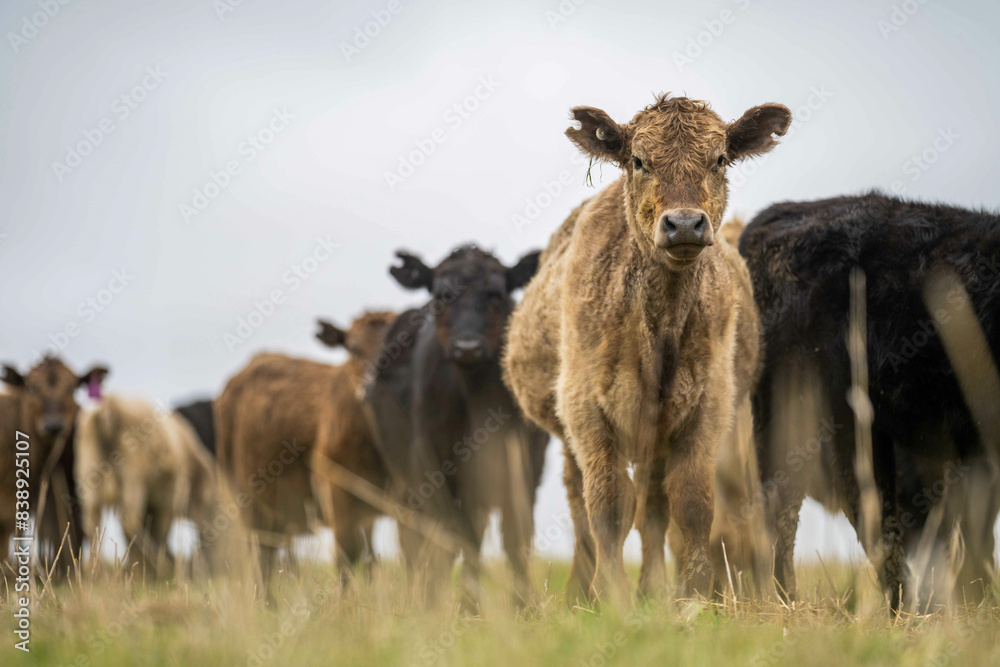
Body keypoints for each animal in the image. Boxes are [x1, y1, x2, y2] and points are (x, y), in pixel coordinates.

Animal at [74, 394, 220, 576]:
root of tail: (109, 406)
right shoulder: (166, 500)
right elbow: (160, 530)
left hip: (90, 474)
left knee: (92, 524)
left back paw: (97, 572)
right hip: (135, 475)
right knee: (128, 520)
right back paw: (162, 564)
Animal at [214, 311, 395, 586]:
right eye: (352, 348)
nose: (372, 387)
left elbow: (373, 558)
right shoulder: (334, 489)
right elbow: (347, 555)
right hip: (247, 500)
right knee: (262, 557)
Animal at [365, 245, 548, 609]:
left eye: (496, 294)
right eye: (442, 294)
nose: (467, 347)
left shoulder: (525, 462)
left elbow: (516, 536)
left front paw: (523, 606)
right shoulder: (430, 462)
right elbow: (451, 534)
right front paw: (456, 605)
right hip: (405, 476)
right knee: (418, 536)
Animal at [503, 94, 790, 604]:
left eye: (720, 159)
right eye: (638, 161)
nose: (684, 224)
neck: (660, 326)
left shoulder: (709, 406)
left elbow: (692, 502)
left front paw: (692, 595)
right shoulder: (586, 409)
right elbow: (608, 503)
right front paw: (610, 595)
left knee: (654, 506)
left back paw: (653, 588)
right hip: (569, 433)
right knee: (580, 504)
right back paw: (580, 588)